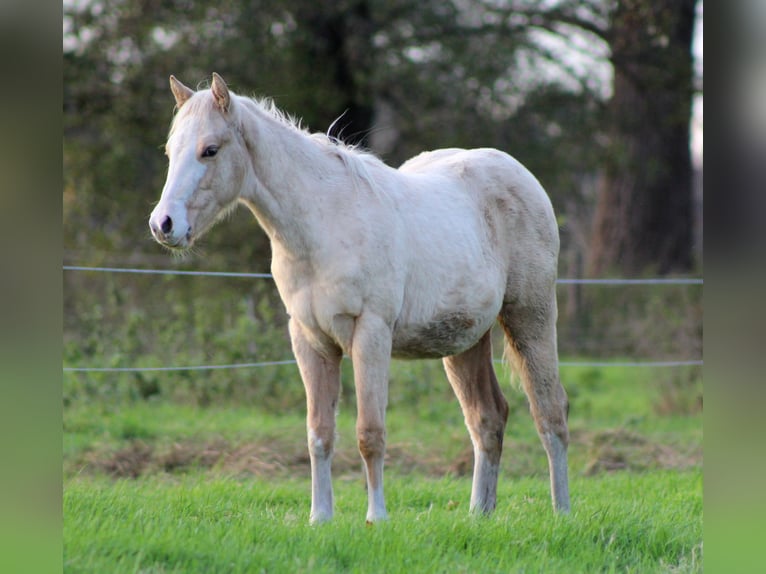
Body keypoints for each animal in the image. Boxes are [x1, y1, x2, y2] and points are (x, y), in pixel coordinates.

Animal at [149, 73, 570, 524]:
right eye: (170, 151)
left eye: (210, 149)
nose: (164, 224)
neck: (324, 225)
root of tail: (521, 177)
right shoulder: (311, 341)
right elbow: (319, 434)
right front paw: (320, 517)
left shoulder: (370, 334)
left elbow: (370, 433)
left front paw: (376, 518)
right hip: (465, 342)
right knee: (487, 418)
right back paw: (479, 515)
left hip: (530, 319)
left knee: (551, 414)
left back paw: (561, 511)